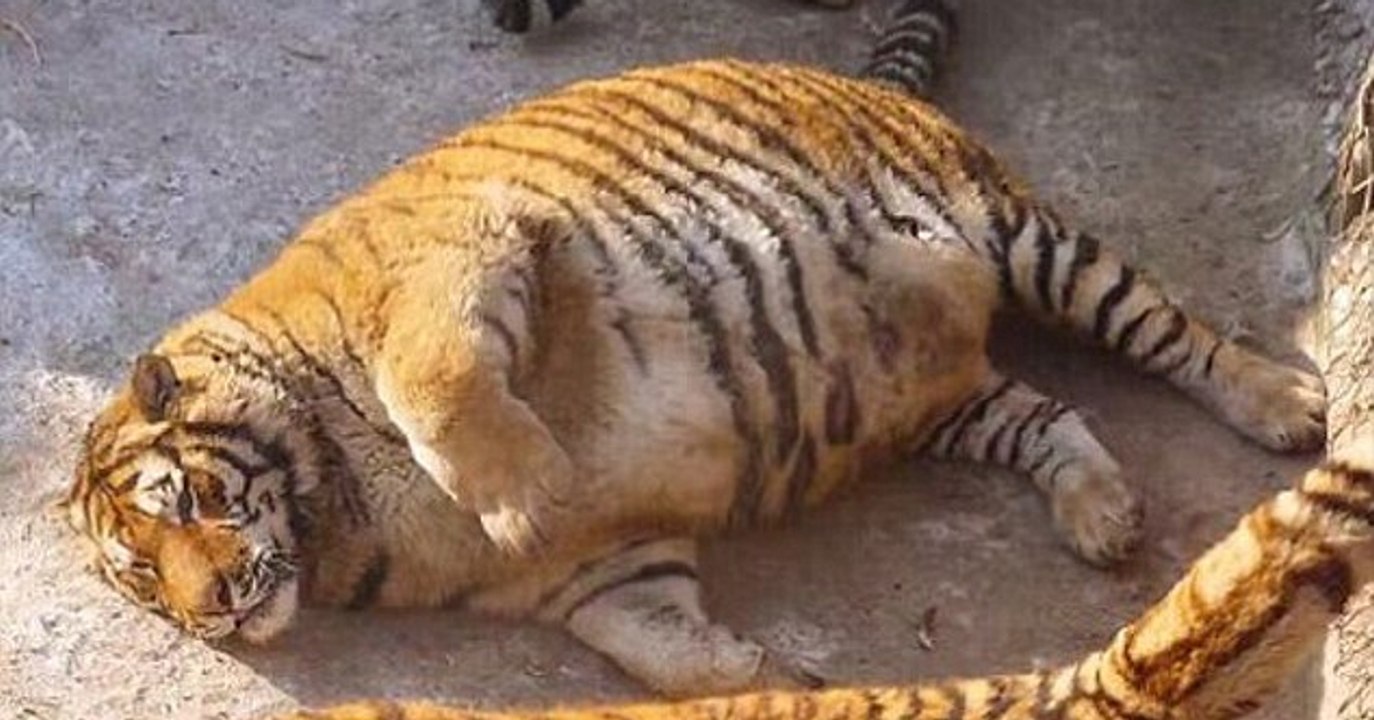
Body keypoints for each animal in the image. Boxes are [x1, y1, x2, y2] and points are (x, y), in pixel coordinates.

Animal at [62, 0, 1325, 699]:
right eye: (144, 573)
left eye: (187, 502)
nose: (216, 611)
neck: (339, 519)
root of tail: (858, 74)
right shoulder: (602, 571)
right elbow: (659, 651)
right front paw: (761, 679)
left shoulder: (460, 260)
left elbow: (439, 384)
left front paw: (525, 490)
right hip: (945, 405)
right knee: (1049, 415)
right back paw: (1103, 517)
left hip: (1026, 238)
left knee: (1173, 334)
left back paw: (1288, 404)